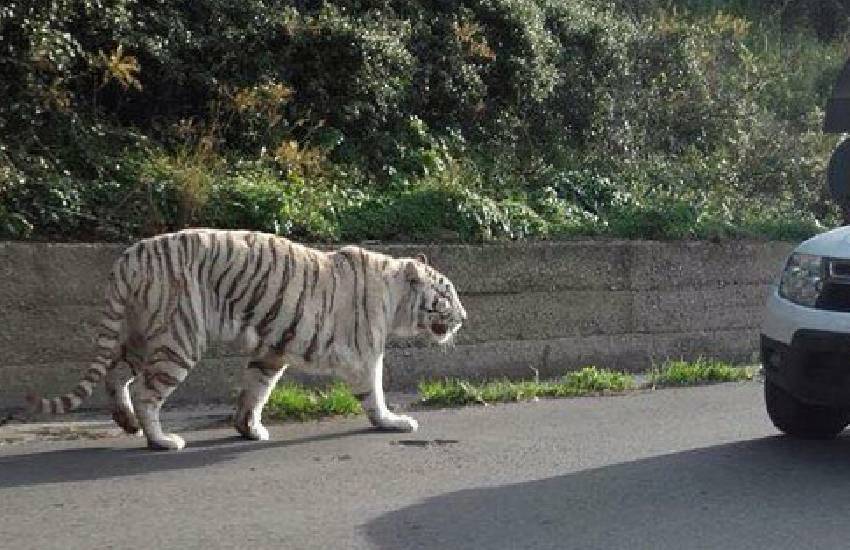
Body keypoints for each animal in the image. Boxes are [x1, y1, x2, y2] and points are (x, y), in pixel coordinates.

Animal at [26, 229, 467, 450]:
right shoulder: (364, 355)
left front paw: (247, 428)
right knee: (147, 392)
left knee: (116, 376)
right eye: (445, 296)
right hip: (179, 338)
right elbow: (374, 392)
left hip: (139, 333)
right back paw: (161, 439)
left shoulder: (271, 350)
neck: (397, 298)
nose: (464, 318)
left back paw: (126, 422)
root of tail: (129, 256)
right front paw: (392, 422)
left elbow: (257, 390)